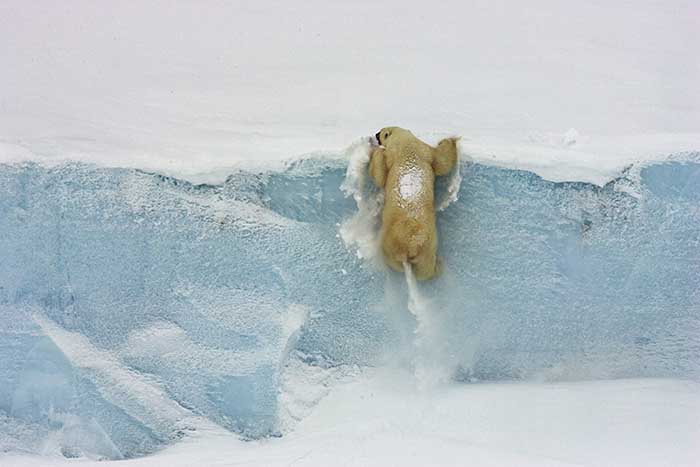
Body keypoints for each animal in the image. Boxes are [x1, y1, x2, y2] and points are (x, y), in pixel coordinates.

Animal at [366, 128, 460, 280]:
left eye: (381, 132)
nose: (375, 134)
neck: (407, 146)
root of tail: (410, 247)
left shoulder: (405, 152)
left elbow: (380, 176)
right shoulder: (423, 151)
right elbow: (441, 162)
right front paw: (450, 139)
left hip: (398, 245)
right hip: (426, 248)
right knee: (423, 269)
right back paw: (437, 266)